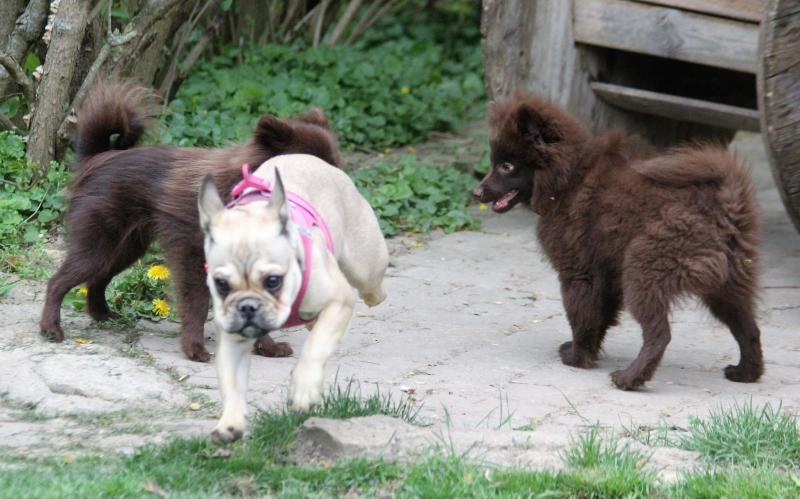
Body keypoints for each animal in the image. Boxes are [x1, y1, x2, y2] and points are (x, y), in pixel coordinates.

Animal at [40, 81, 341, 362]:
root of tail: (98, 158)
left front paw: (267, 346)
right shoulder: (193, 260)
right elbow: (196, 305)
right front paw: (194, 348)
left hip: (125, 247)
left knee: (97, 278)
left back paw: (102, 314)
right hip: (100, 244)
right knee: (58, 281)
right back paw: (50, 328)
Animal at [197, 154, 388, 442]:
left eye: (273, 281)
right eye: (221, 284)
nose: (248, 306)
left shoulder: (339, 300)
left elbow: (315, 347)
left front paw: (303, 389)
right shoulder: (233, 340)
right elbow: (231, 382)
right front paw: (230, 422)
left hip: (364, 268)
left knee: (371, 288)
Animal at [473, 93, 763, 389]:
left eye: (507, 166)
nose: (476, 192)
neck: (568, 179)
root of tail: (725, 202)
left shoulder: (578, 273)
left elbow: (581, 316)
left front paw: (577, 357)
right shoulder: (605, 274)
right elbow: (598, 317)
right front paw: (588, 352)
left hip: (644, 268)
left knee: (660, 333)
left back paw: (629, 378)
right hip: (727, 282)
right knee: (748, 328)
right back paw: (746, 373)